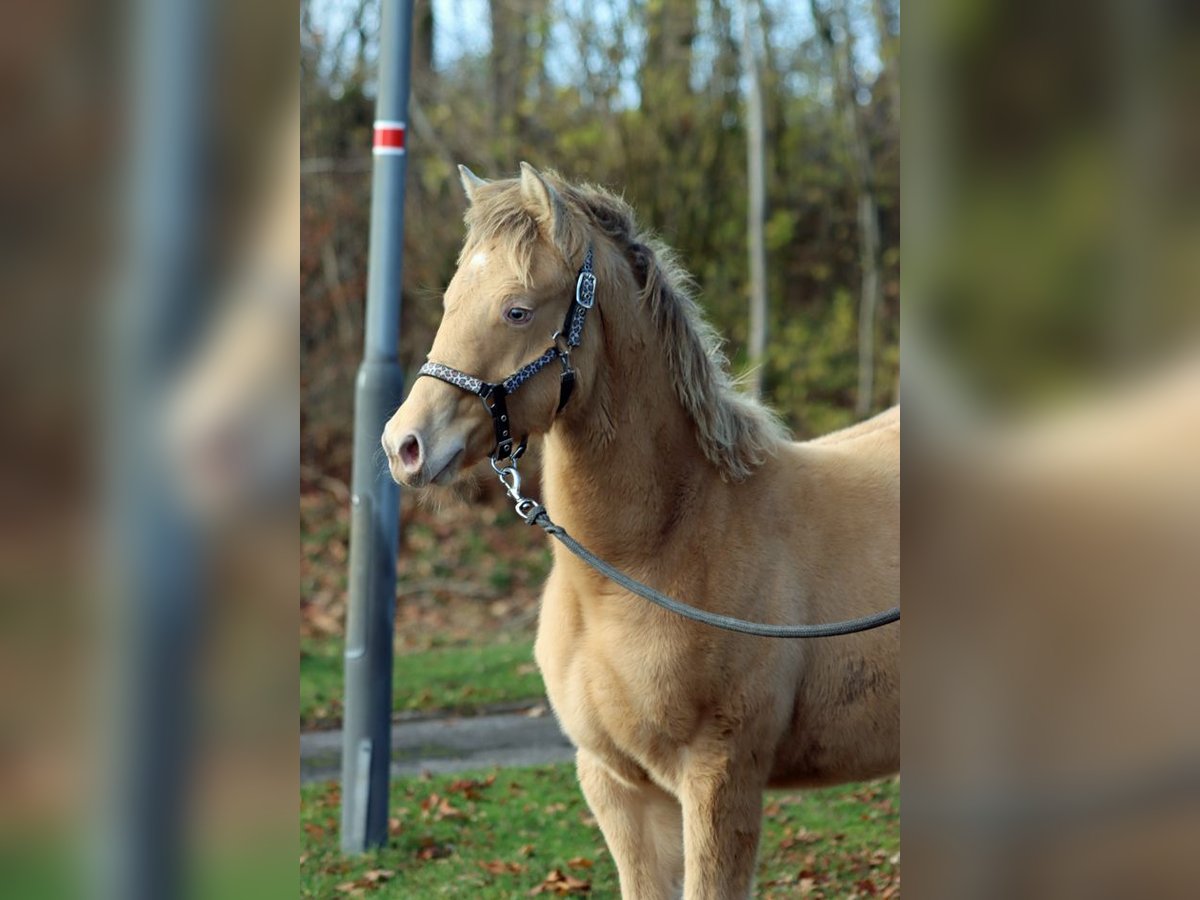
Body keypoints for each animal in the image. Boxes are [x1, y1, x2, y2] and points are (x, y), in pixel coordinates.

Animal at [382, 163, 899, 899]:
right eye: (452, 299)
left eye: (517, 309)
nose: (405, 445)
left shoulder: (720, 781)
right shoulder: (616, 785)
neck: (645, 560)